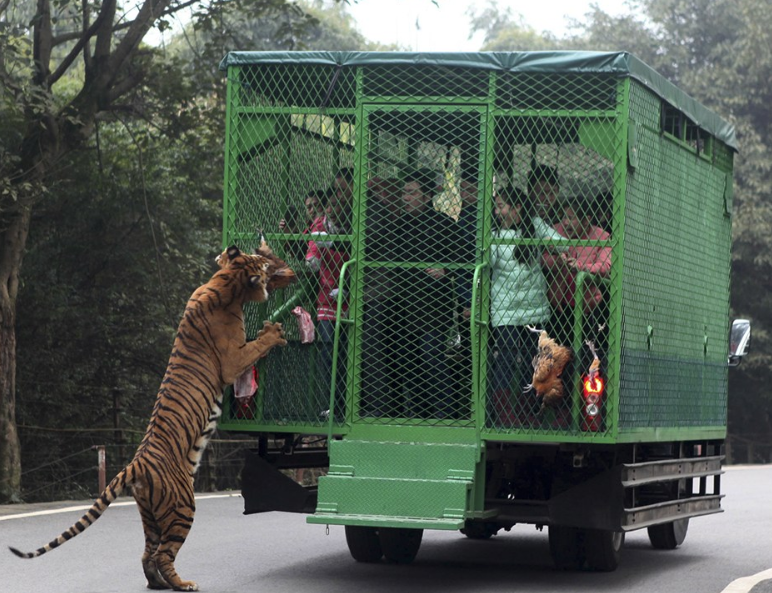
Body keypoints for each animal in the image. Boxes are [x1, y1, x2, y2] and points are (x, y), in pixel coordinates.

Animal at [8, 242, 296, 592]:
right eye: (264, 266)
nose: (275, 264)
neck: (226, 281)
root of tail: (135, 465)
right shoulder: (232, 360)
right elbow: (256, 347)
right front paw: (273, 332)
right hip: (183, 505)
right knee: (163, 554)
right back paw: (183, 583)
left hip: (150, 513)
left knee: (148, 553)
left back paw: (158, 583)